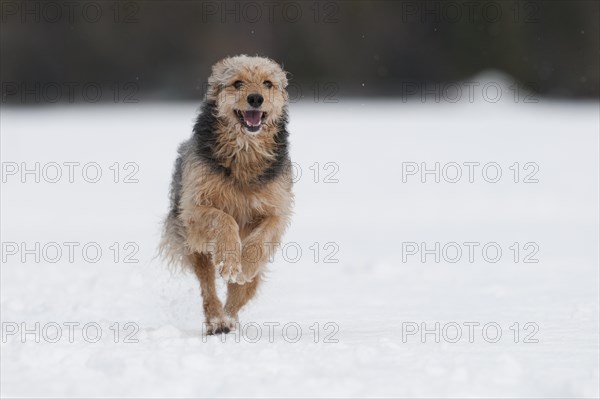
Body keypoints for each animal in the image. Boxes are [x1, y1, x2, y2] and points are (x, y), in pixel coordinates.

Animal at [158, 56, 292, 336]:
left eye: (268, 83)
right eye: (237, 83)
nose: (255, 98)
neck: (245, 153)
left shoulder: (278, 210)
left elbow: (260, 240)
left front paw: (243, 266)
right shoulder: (194, 209)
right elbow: (223, 220)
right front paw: (229, 262)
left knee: (239, 296)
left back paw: (229, 318)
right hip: (194, 249)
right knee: (208, 287)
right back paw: (217, 322)